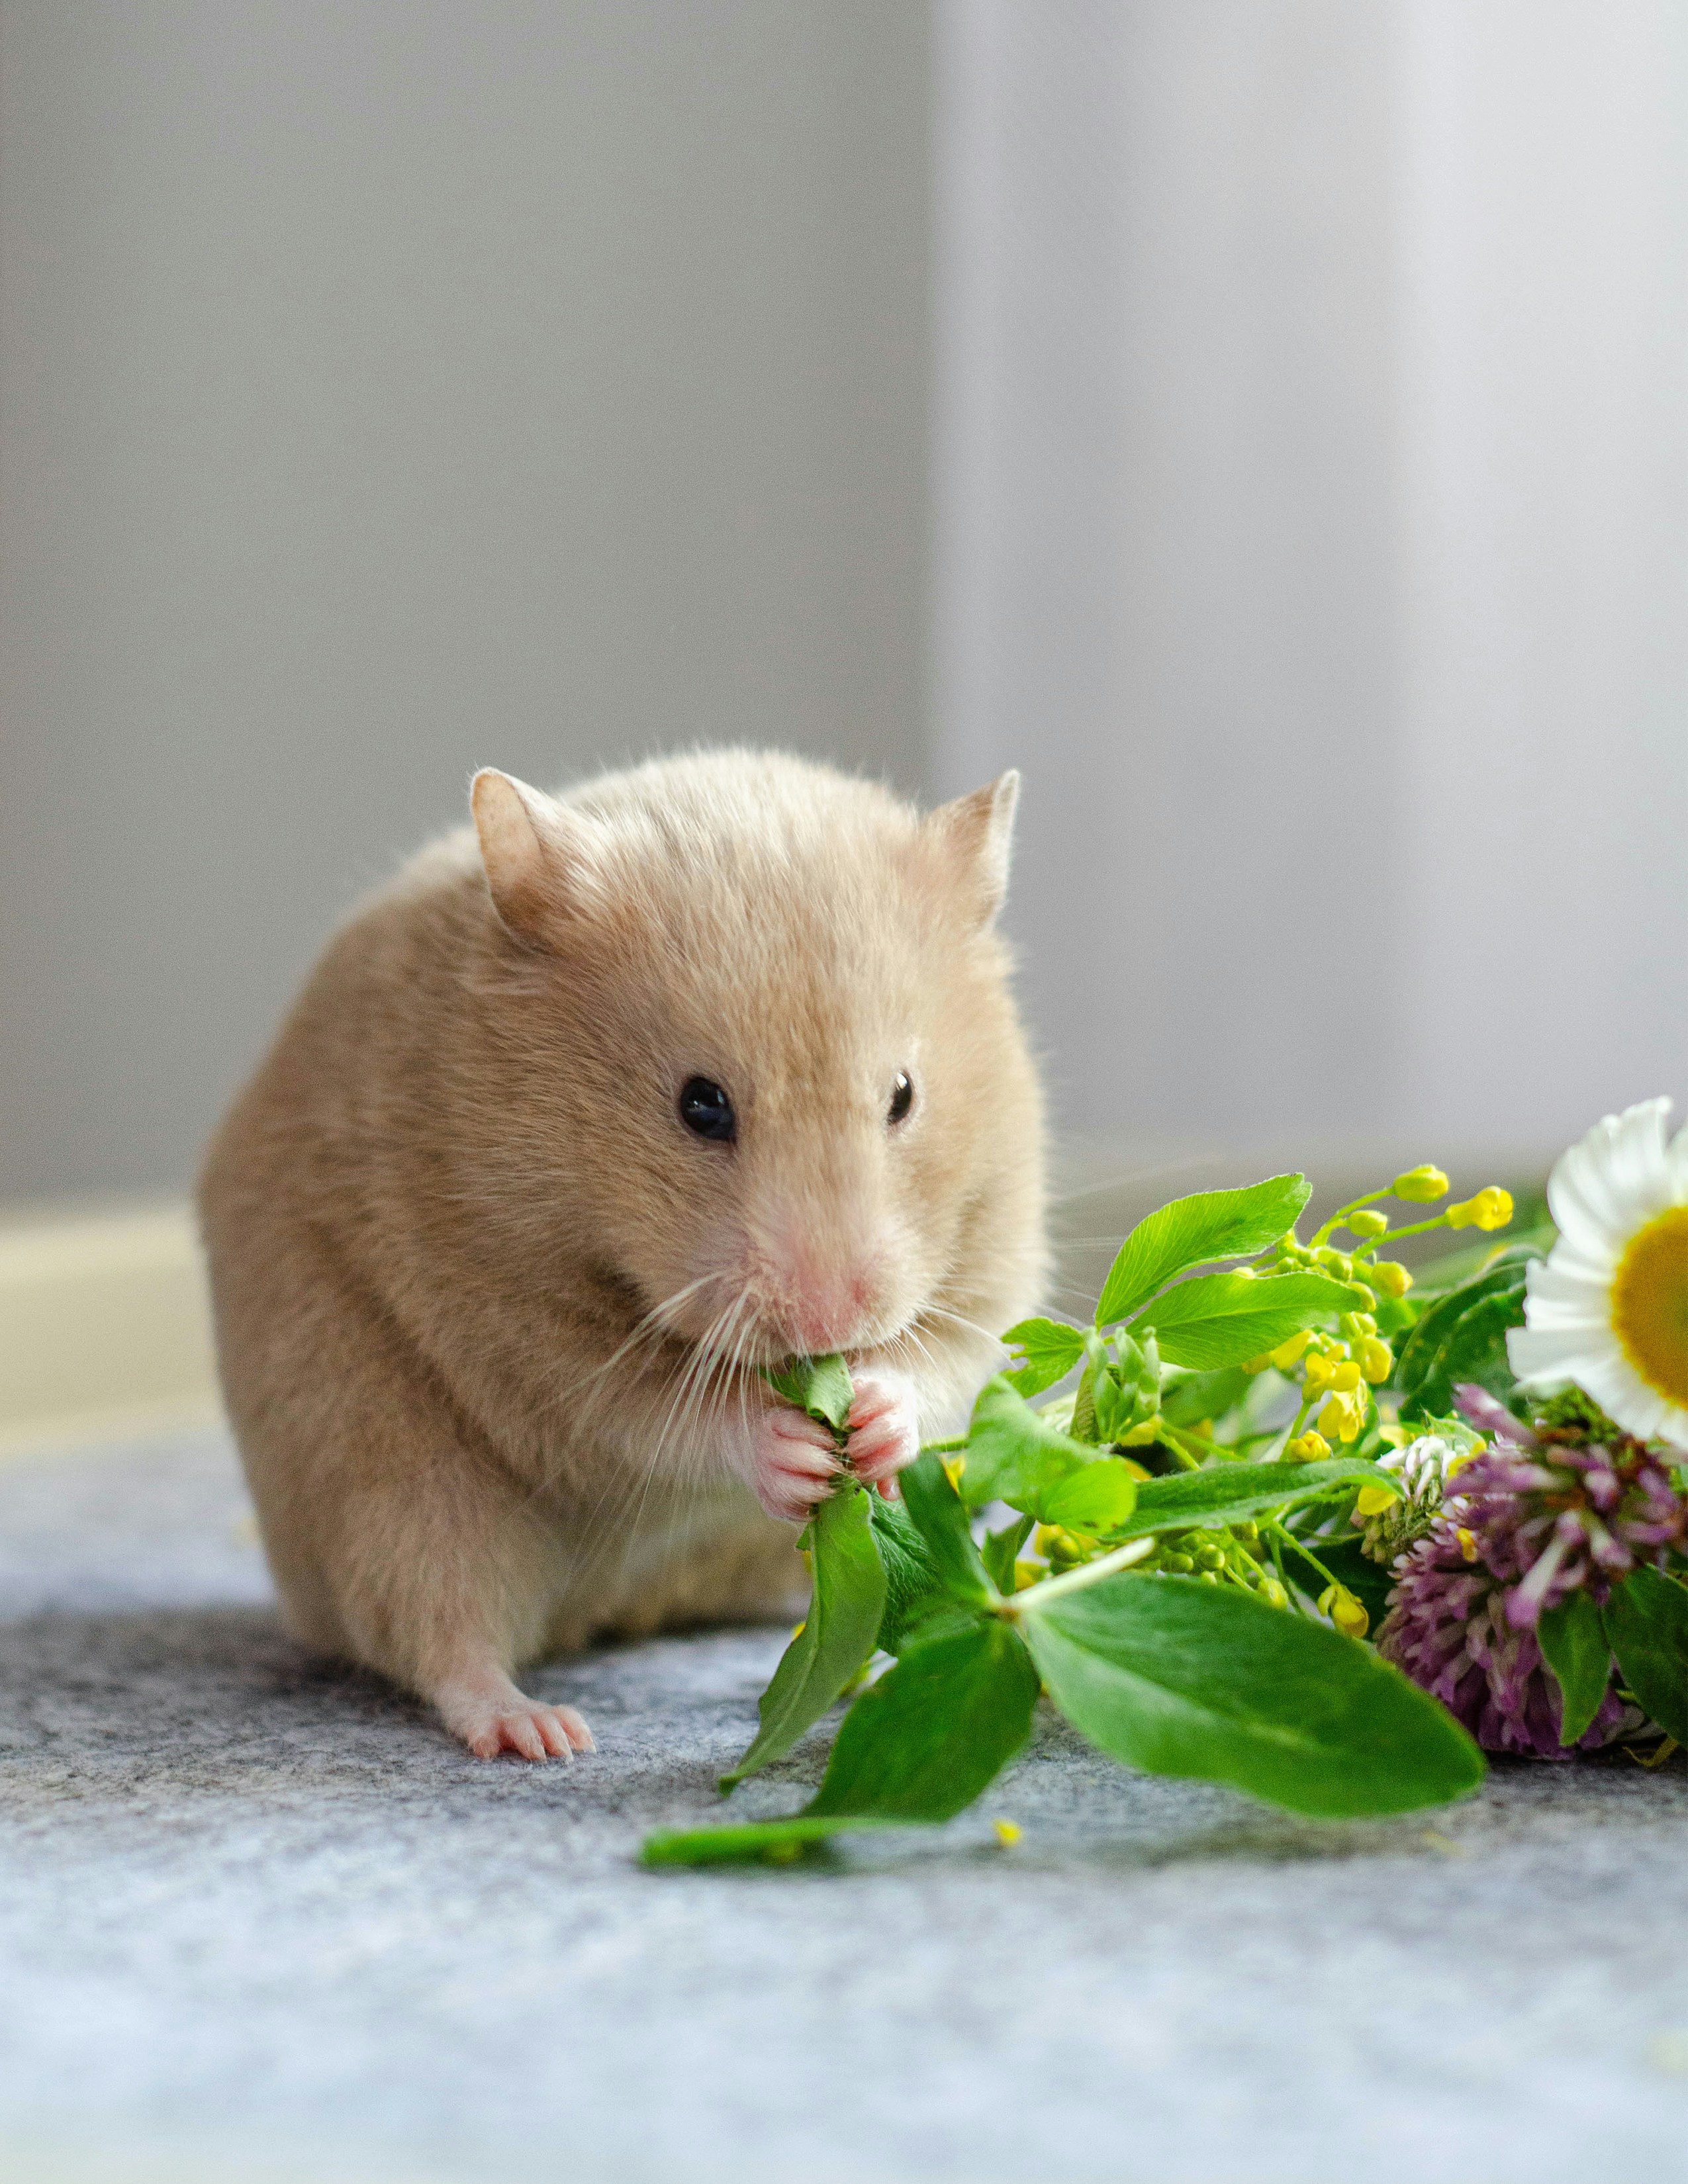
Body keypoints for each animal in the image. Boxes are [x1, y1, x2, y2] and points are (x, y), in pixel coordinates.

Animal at [199, 750, 1047, 1760]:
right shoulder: (530, 1336)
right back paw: (540, 1732)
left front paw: (873, 1417)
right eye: (699, 1105)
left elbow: (945, 1362)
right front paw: (793, 1448)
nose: (828, 1322)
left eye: (905, 1096)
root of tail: (608, 1614)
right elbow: (659, 1417)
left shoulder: (995, 1260)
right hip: (383, 1473)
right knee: (438, 1628)